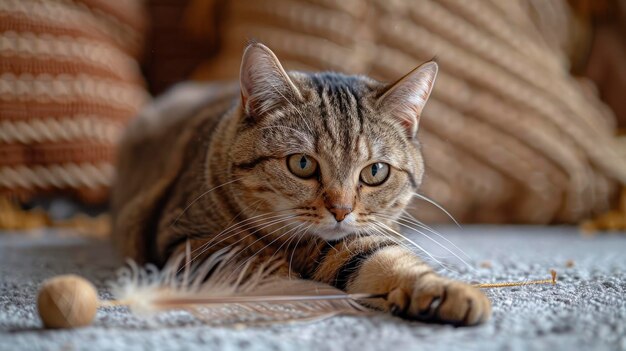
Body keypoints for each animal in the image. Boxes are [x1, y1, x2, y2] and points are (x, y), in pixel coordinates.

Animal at [114, 43, 490, 328]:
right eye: (303, 164)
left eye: (375, 171)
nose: (341, 210)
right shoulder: (189, 242)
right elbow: (253, 265)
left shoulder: (355, 240)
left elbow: (385, 259)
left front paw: (444, 291)